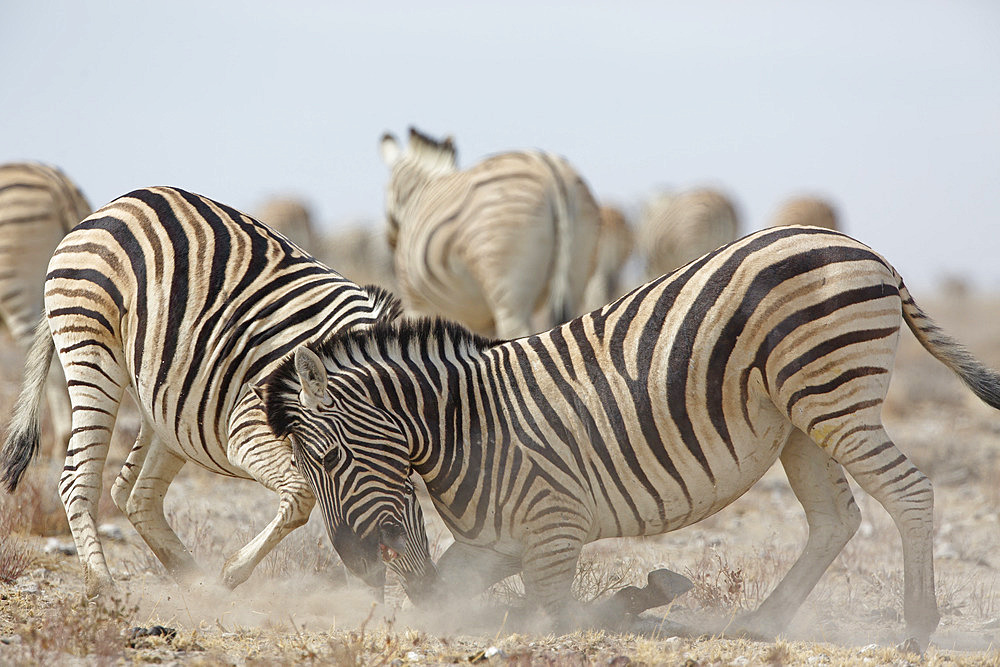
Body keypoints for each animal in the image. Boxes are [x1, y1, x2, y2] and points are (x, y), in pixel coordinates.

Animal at [260, 226, 1000, 652]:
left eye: (330, 458)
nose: (359, 565)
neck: (467, 426)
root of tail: (870, 252)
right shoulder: (493, 544)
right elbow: (460, 598)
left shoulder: (553, 530)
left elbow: (553, 617)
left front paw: (639, 603)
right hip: (801, 419)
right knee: (835, 519)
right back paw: (762, 624)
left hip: (834, 397)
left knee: (909, 493)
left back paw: (917, 625)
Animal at [376, 127, 596, 340]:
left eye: (387, 190)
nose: (389, 241)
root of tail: (549, 169)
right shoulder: (482, 320)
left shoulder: (416, 303)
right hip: (576, 271)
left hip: (508, 291)